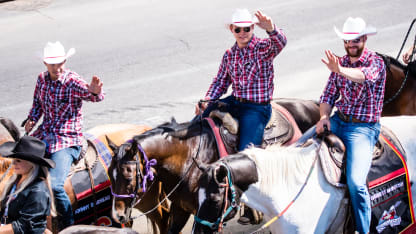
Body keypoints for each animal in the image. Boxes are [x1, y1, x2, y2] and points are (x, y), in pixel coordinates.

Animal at [107, 98, 322, 233]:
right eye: (110, 175)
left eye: (127, 175)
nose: (117, 216)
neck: (188, 156)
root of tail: (313, 105)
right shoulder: (181, 208)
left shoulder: (207, 212)